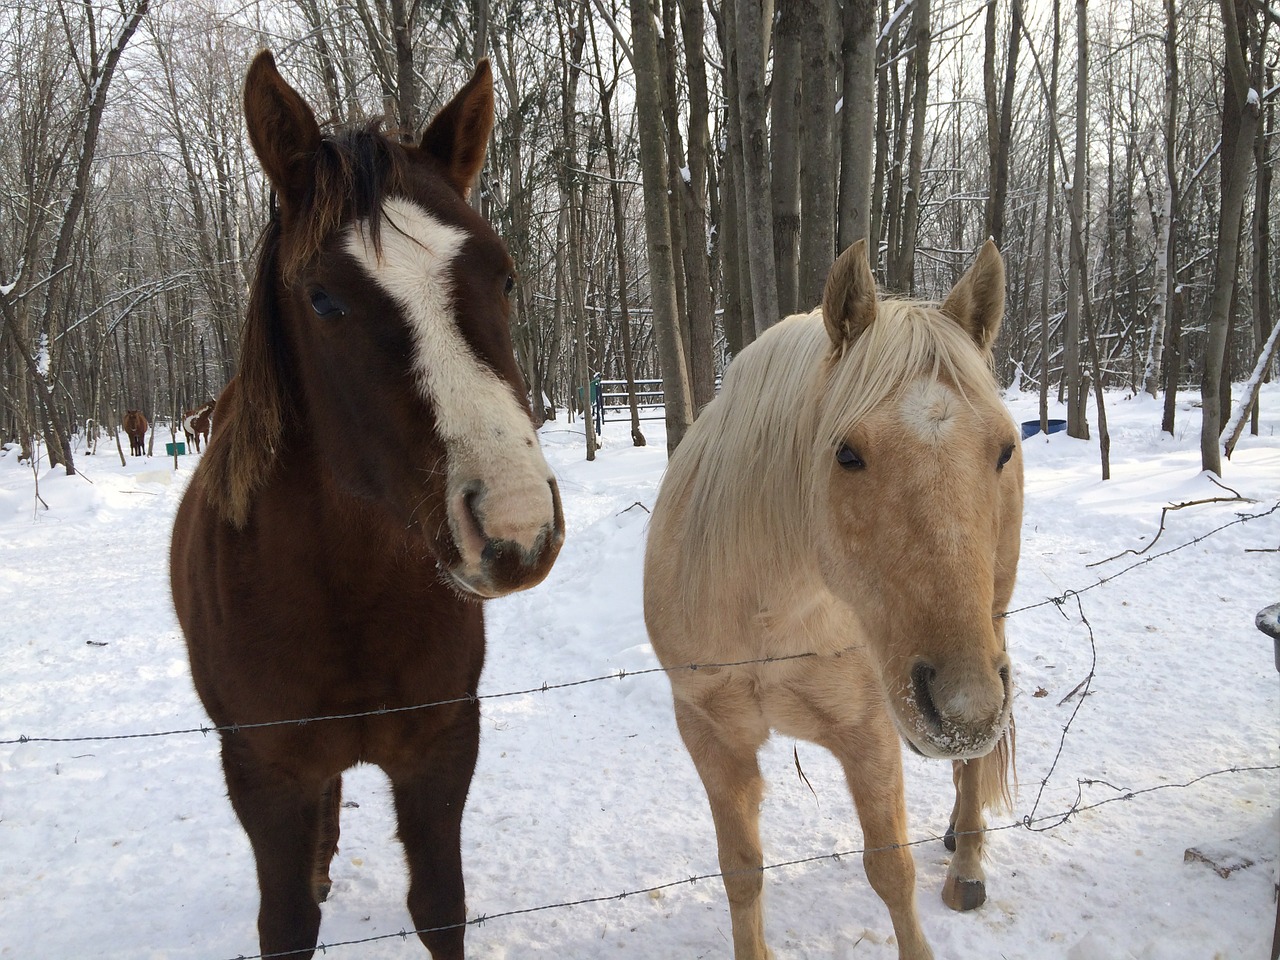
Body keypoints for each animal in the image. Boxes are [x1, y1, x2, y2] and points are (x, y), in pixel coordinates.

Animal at [168, 54, 560, 960]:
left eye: (505, 274)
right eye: (323, 300)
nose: (516, 527)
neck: (345, 591)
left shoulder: (441, 750)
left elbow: (440, 904)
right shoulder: (265, 774)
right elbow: (286, 924)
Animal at [645, 236, 1024, 957]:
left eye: (1003, 450)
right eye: (847, 454)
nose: (962, 711)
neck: (771, 615)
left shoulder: (868, 729)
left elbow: (892, 872)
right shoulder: (708, 733)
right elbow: (741, 872)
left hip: (990, 626)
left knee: (971, 768)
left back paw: (966, 863)